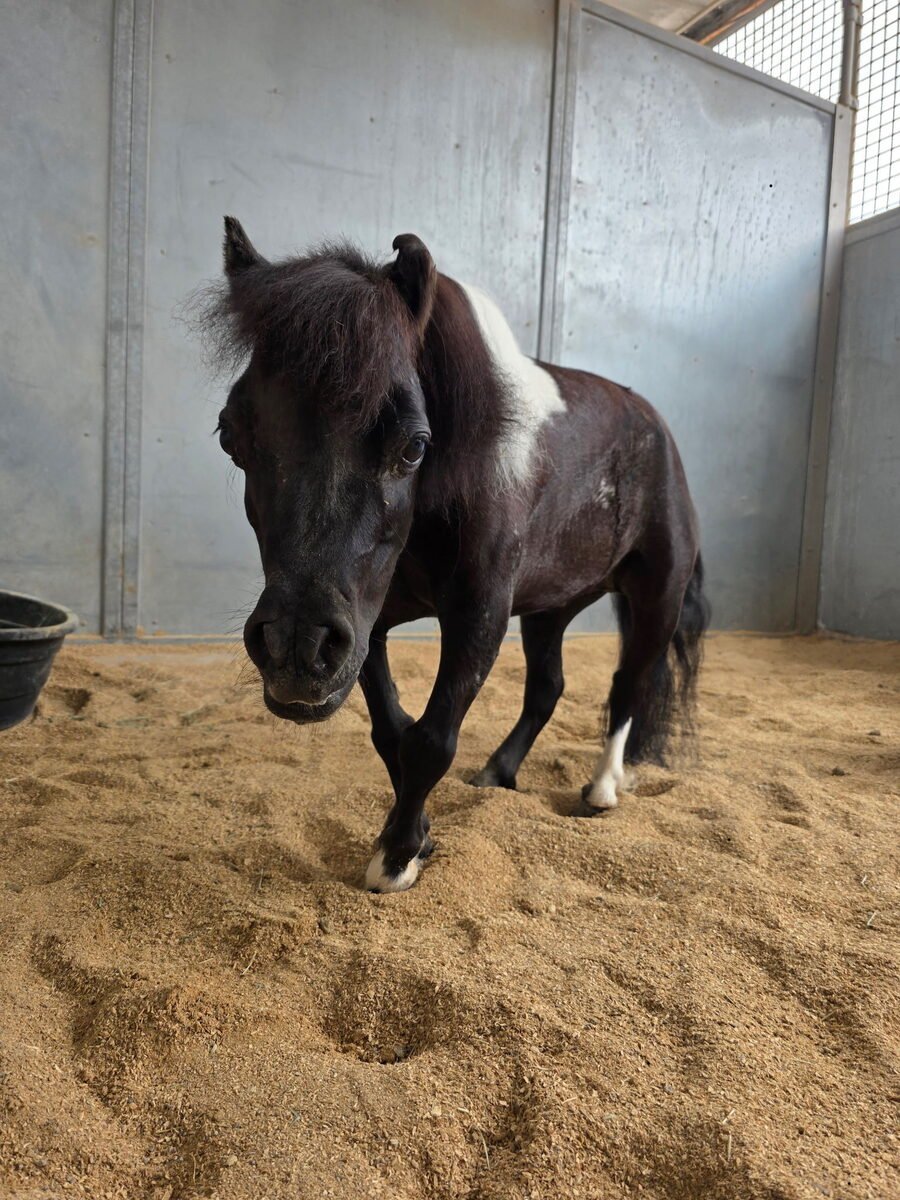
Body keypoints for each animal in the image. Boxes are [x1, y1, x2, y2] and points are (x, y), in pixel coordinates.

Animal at [204, 217, 710, 893]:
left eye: (415, 445)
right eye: (230, 435)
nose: (295, 649)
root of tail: (655, 424)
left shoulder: (477, 617)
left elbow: (431, 741)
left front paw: (394, 860)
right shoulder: (368, 623)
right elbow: (392, 735)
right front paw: (417, 837)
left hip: (656, 598)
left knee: (630, 685)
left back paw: (602, 789)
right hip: (549, 608)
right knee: (547, 688)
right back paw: (497, 773)